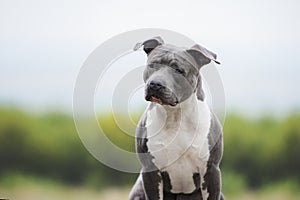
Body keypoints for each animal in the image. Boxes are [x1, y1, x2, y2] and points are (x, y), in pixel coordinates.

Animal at [130, 36, 224, 199]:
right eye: (152, 65)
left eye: (178, 70)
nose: (155, 84)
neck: (175, 116)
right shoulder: (150, 171)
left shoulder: (211, 170)